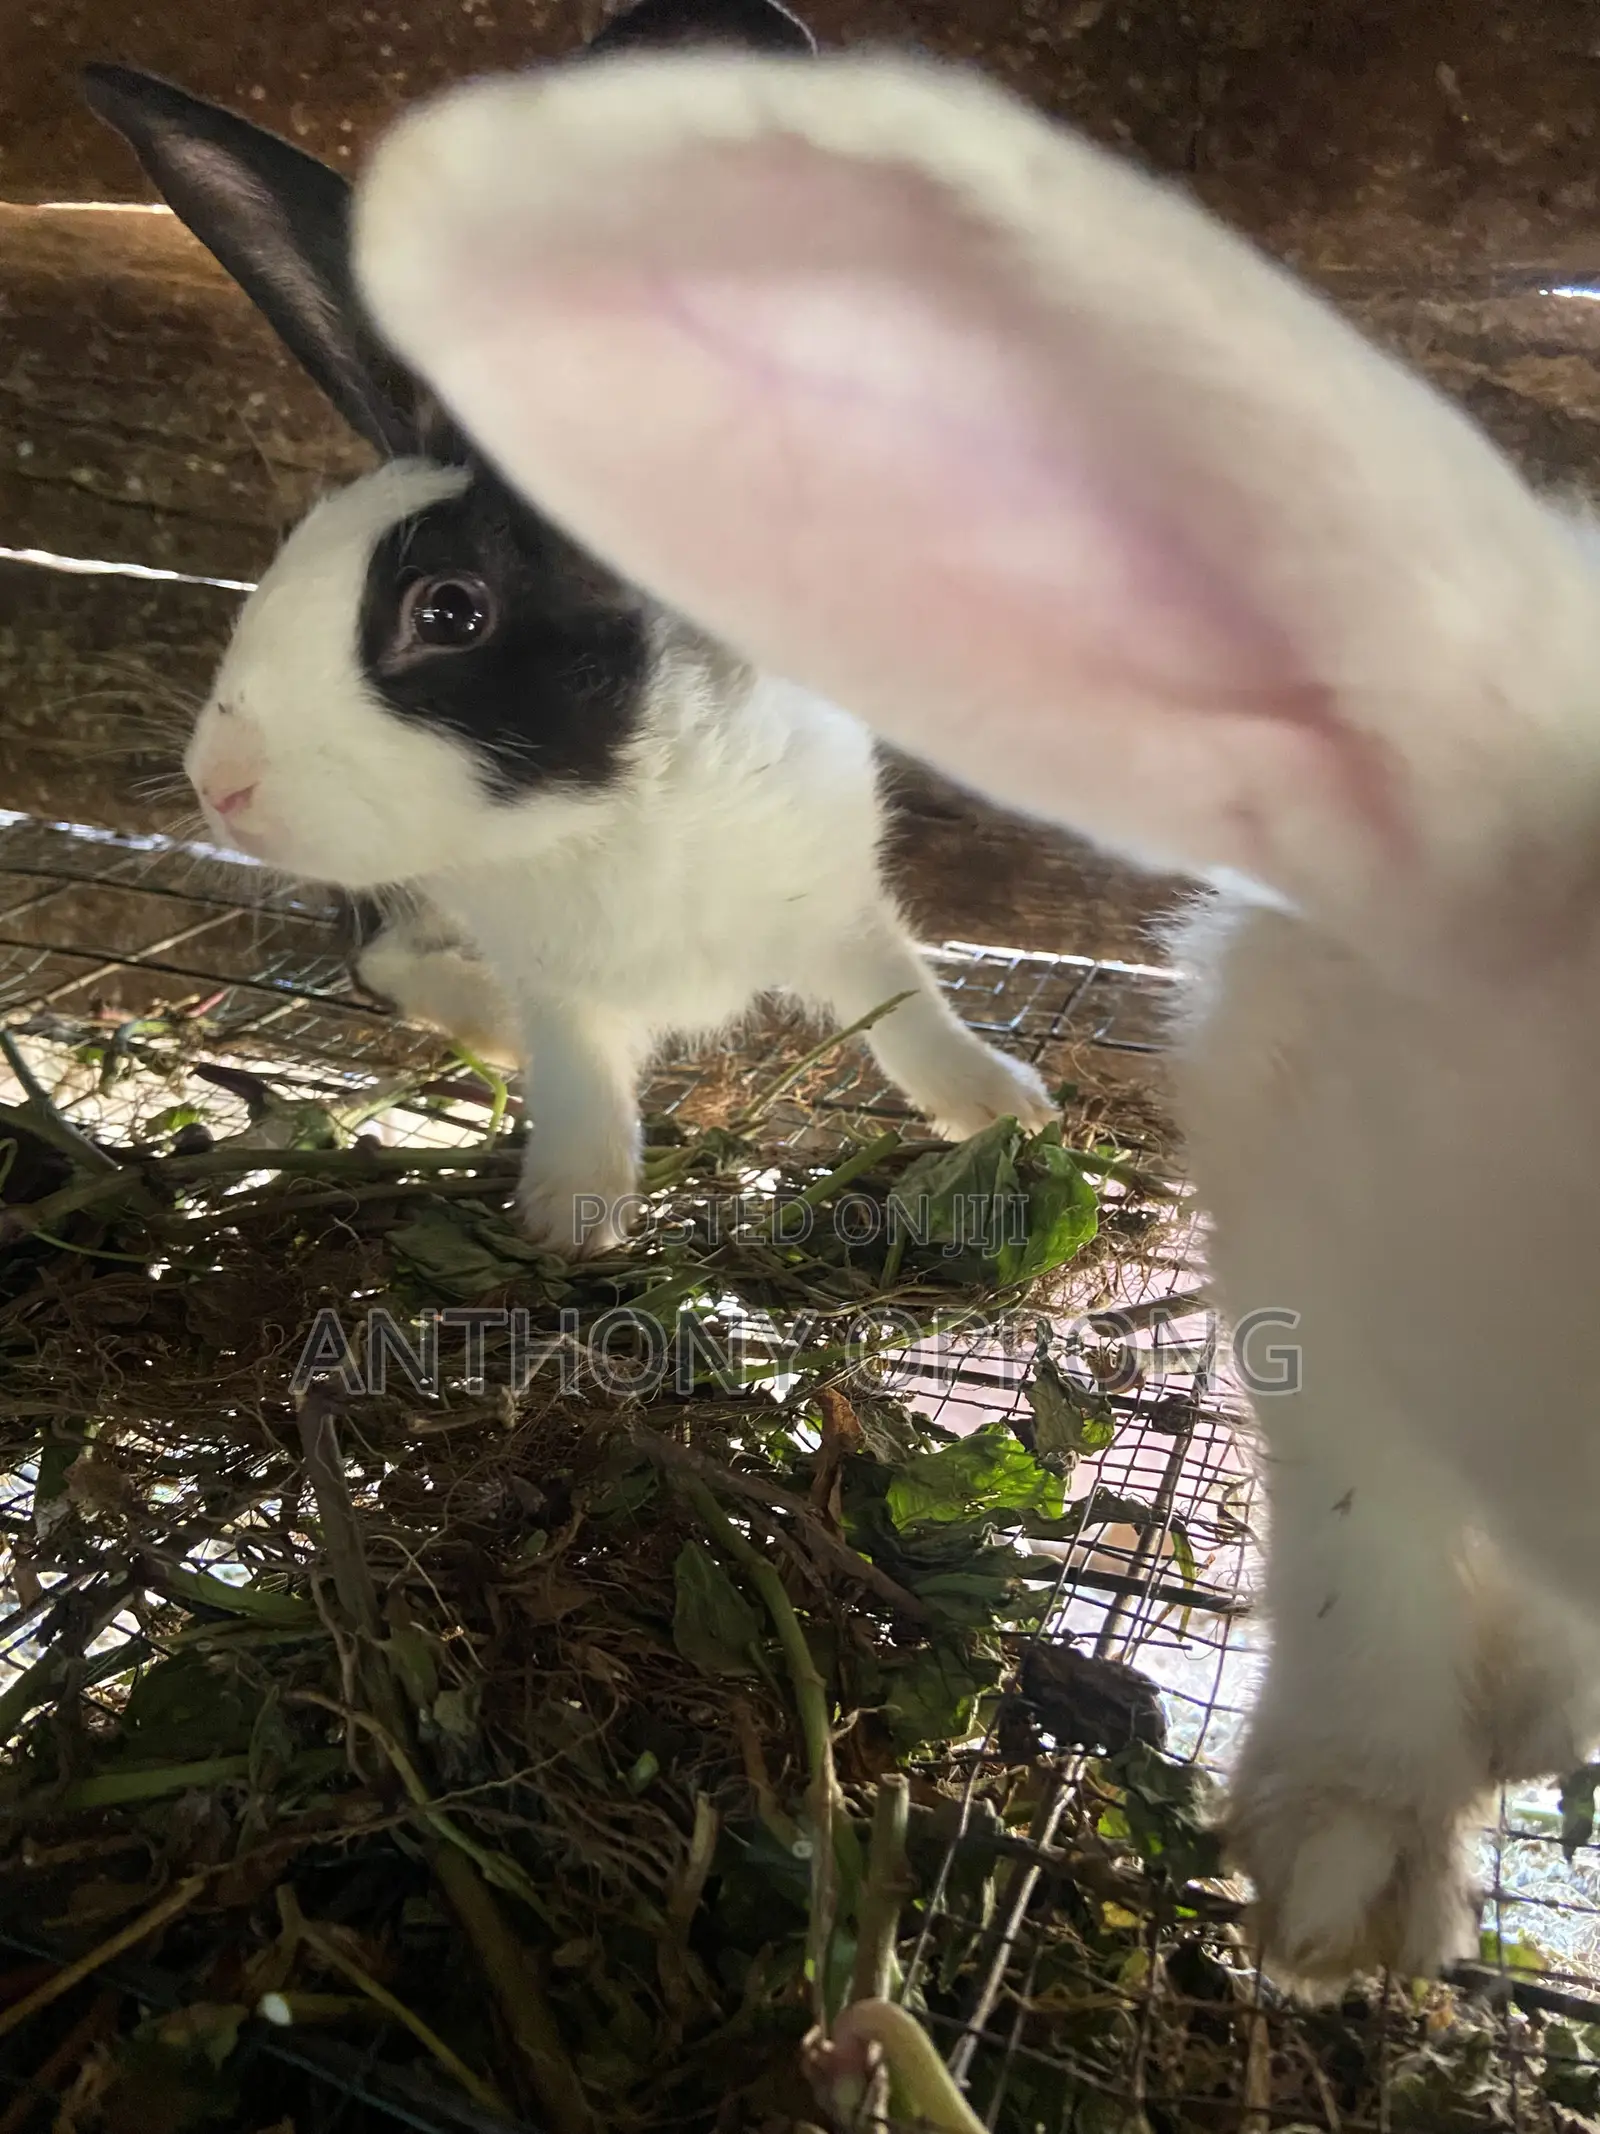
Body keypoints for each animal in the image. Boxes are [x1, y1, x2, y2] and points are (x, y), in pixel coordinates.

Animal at [81, 5, 1055, 1258]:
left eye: (450, 609)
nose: (220, 787)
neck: (609, 805)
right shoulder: (559, 981)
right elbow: (581, 1077)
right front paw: (569, 1218)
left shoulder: (835, 899)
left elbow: (903, 1003)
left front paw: (1005, 1106)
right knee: (377, 953)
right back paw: (486, 1022)